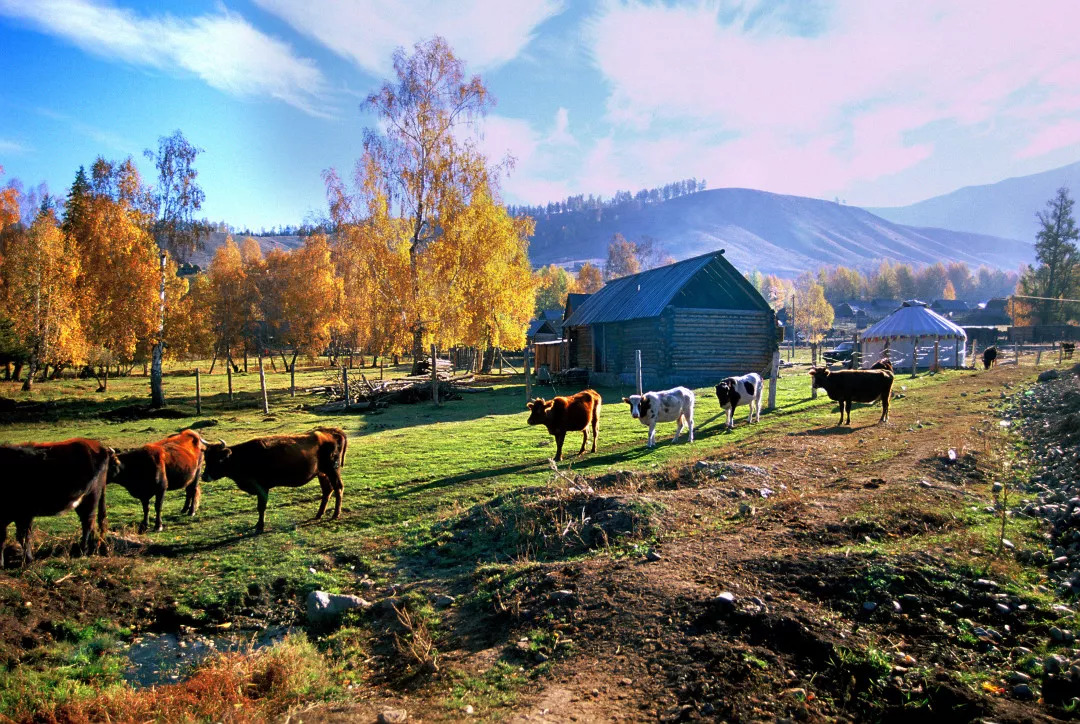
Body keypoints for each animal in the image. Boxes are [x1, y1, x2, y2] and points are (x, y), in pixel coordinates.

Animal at [0, 438, 120, 570]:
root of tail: (95, 445)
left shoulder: (24, 513)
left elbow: (24, 536)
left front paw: (29, 560)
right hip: (82, 501)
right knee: (90, 523)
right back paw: (90, 549)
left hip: (91, 496)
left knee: (88, 522)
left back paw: (83, 550)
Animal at [200, 425, 347, 533]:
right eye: (206, 458)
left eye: (219, 459)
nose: (204, 476)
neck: (244, 456)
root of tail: (331, 431)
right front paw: (258, 525)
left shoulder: (263, 487)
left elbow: (261, 507)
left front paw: (260, 526)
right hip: (322, 473)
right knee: (327, 490)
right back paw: (319, 514)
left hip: (333, 470)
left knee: (338, 487)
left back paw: (335, 514)